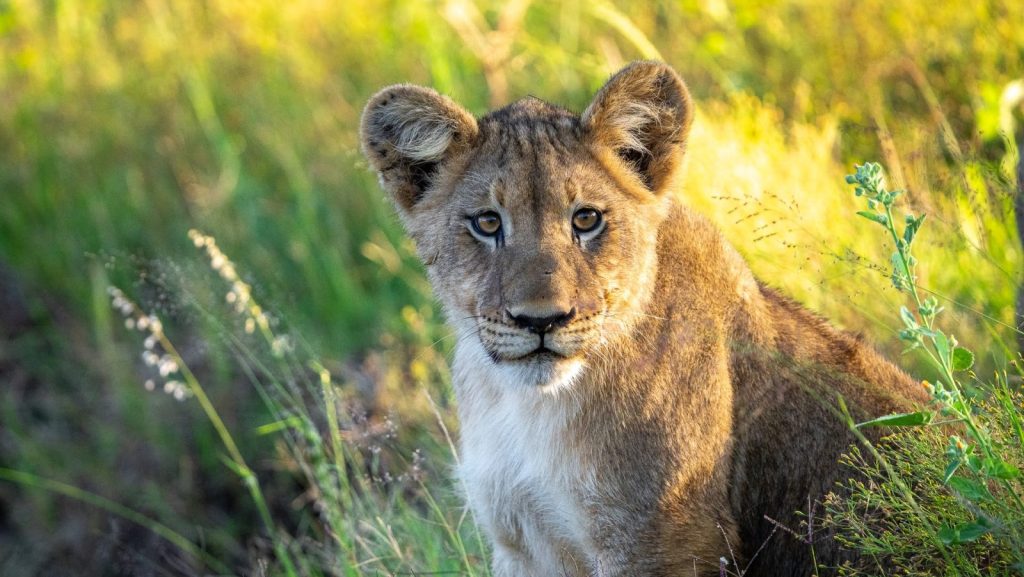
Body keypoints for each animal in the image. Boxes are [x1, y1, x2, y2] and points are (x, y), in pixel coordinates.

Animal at [359, 61, 925, 576]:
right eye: (487, 223)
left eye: (586, 219)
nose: (541, 321)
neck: (527, 408)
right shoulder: (521, 544)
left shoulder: (664, 545)